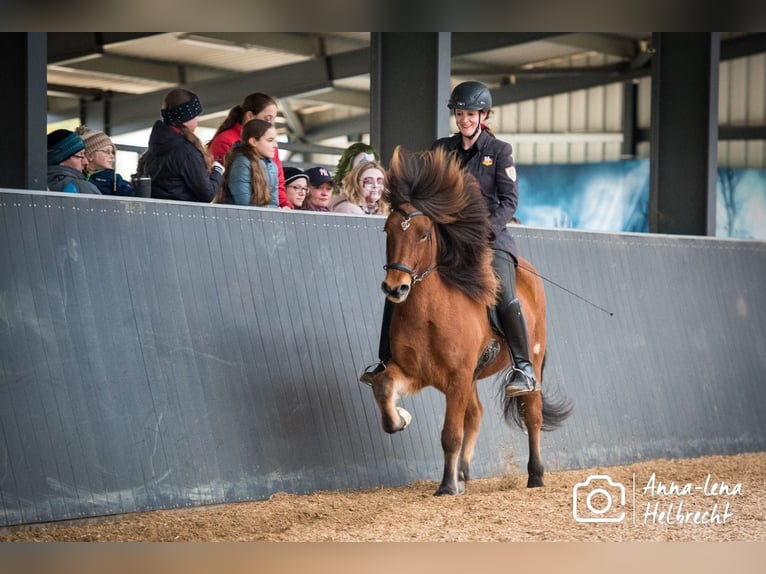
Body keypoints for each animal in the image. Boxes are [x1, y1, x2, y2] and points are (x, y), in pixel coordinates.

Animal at [364, 146, 572, 496]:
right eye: (387, 230)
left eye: (424, 235)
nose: (396, 288)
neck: (429, 313)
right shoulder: (414, 371)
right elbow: (382, 386)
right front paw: (402, 417)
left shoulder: (458, 377)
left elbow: (450, 433)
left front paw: (446, 486)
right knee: (476, 414)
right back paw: (463, 472)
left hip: (530, 359)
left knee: (531, 414)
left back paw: (535, 475)